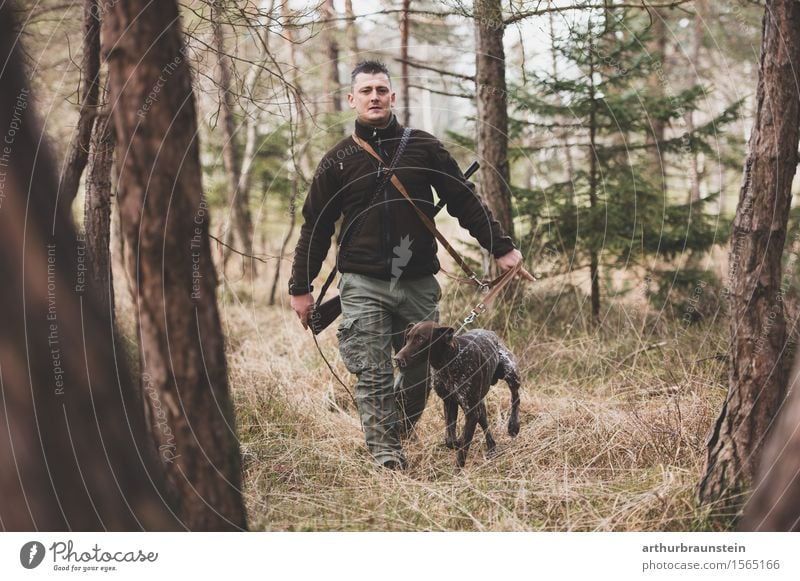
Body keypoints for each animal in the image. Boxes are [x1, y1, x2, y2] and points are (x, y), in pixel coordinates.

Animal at [396, 322, 520, 466]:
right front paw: (457, 442)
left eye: (421, 338)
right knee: (485, 424)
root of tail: (492, 334)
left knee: (516, 398)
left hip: (511, 374)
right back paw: (492, 448)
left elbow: (462, 450)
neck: (448, 362)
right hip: (479, 405)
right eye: (408, 337)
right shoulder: (450, 403)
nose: (397, 359)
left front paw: (458, 468)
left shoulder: (471, 412)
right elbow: (450, 440)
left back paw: (513, 426)